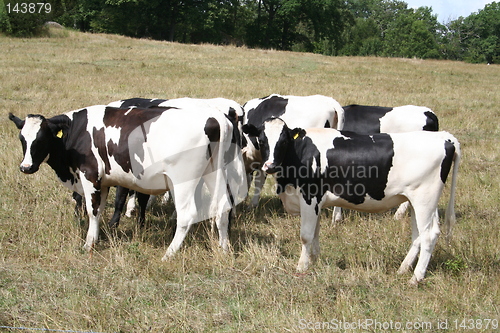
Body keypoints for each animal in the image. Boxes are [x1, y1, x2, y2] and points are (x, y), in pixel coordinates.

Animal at [8, 102, 247, 258]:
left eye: (41, 139)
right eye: (22, 139)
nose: (26, 167)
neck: (77, 132)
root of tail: (216, 117)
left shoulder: (90, 175)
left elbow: (92, 211)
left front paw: (88, 245)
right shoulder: (103, 182)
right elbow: (100, 210)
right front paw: (96, 238)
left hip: (184, 180)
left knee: (187, 215)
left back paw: (169, 254)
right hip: (214, 173)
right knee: (222, 208)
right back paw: (224, 249)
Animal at [243, 118, 460, 284]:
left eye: (284, 140)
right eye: (262, 140)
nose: (270, 165)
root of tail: (444, 137)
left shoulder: (309, 197)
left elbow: (305, 235)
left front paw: (302, 266)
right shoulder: (317, 203)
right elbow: (315, 233)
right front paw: (314, 259)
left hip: (424, 199)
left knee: (428, 236)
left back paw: (415, 278)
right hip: (419, 201)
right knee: (420, 235)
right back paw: (403, 268)